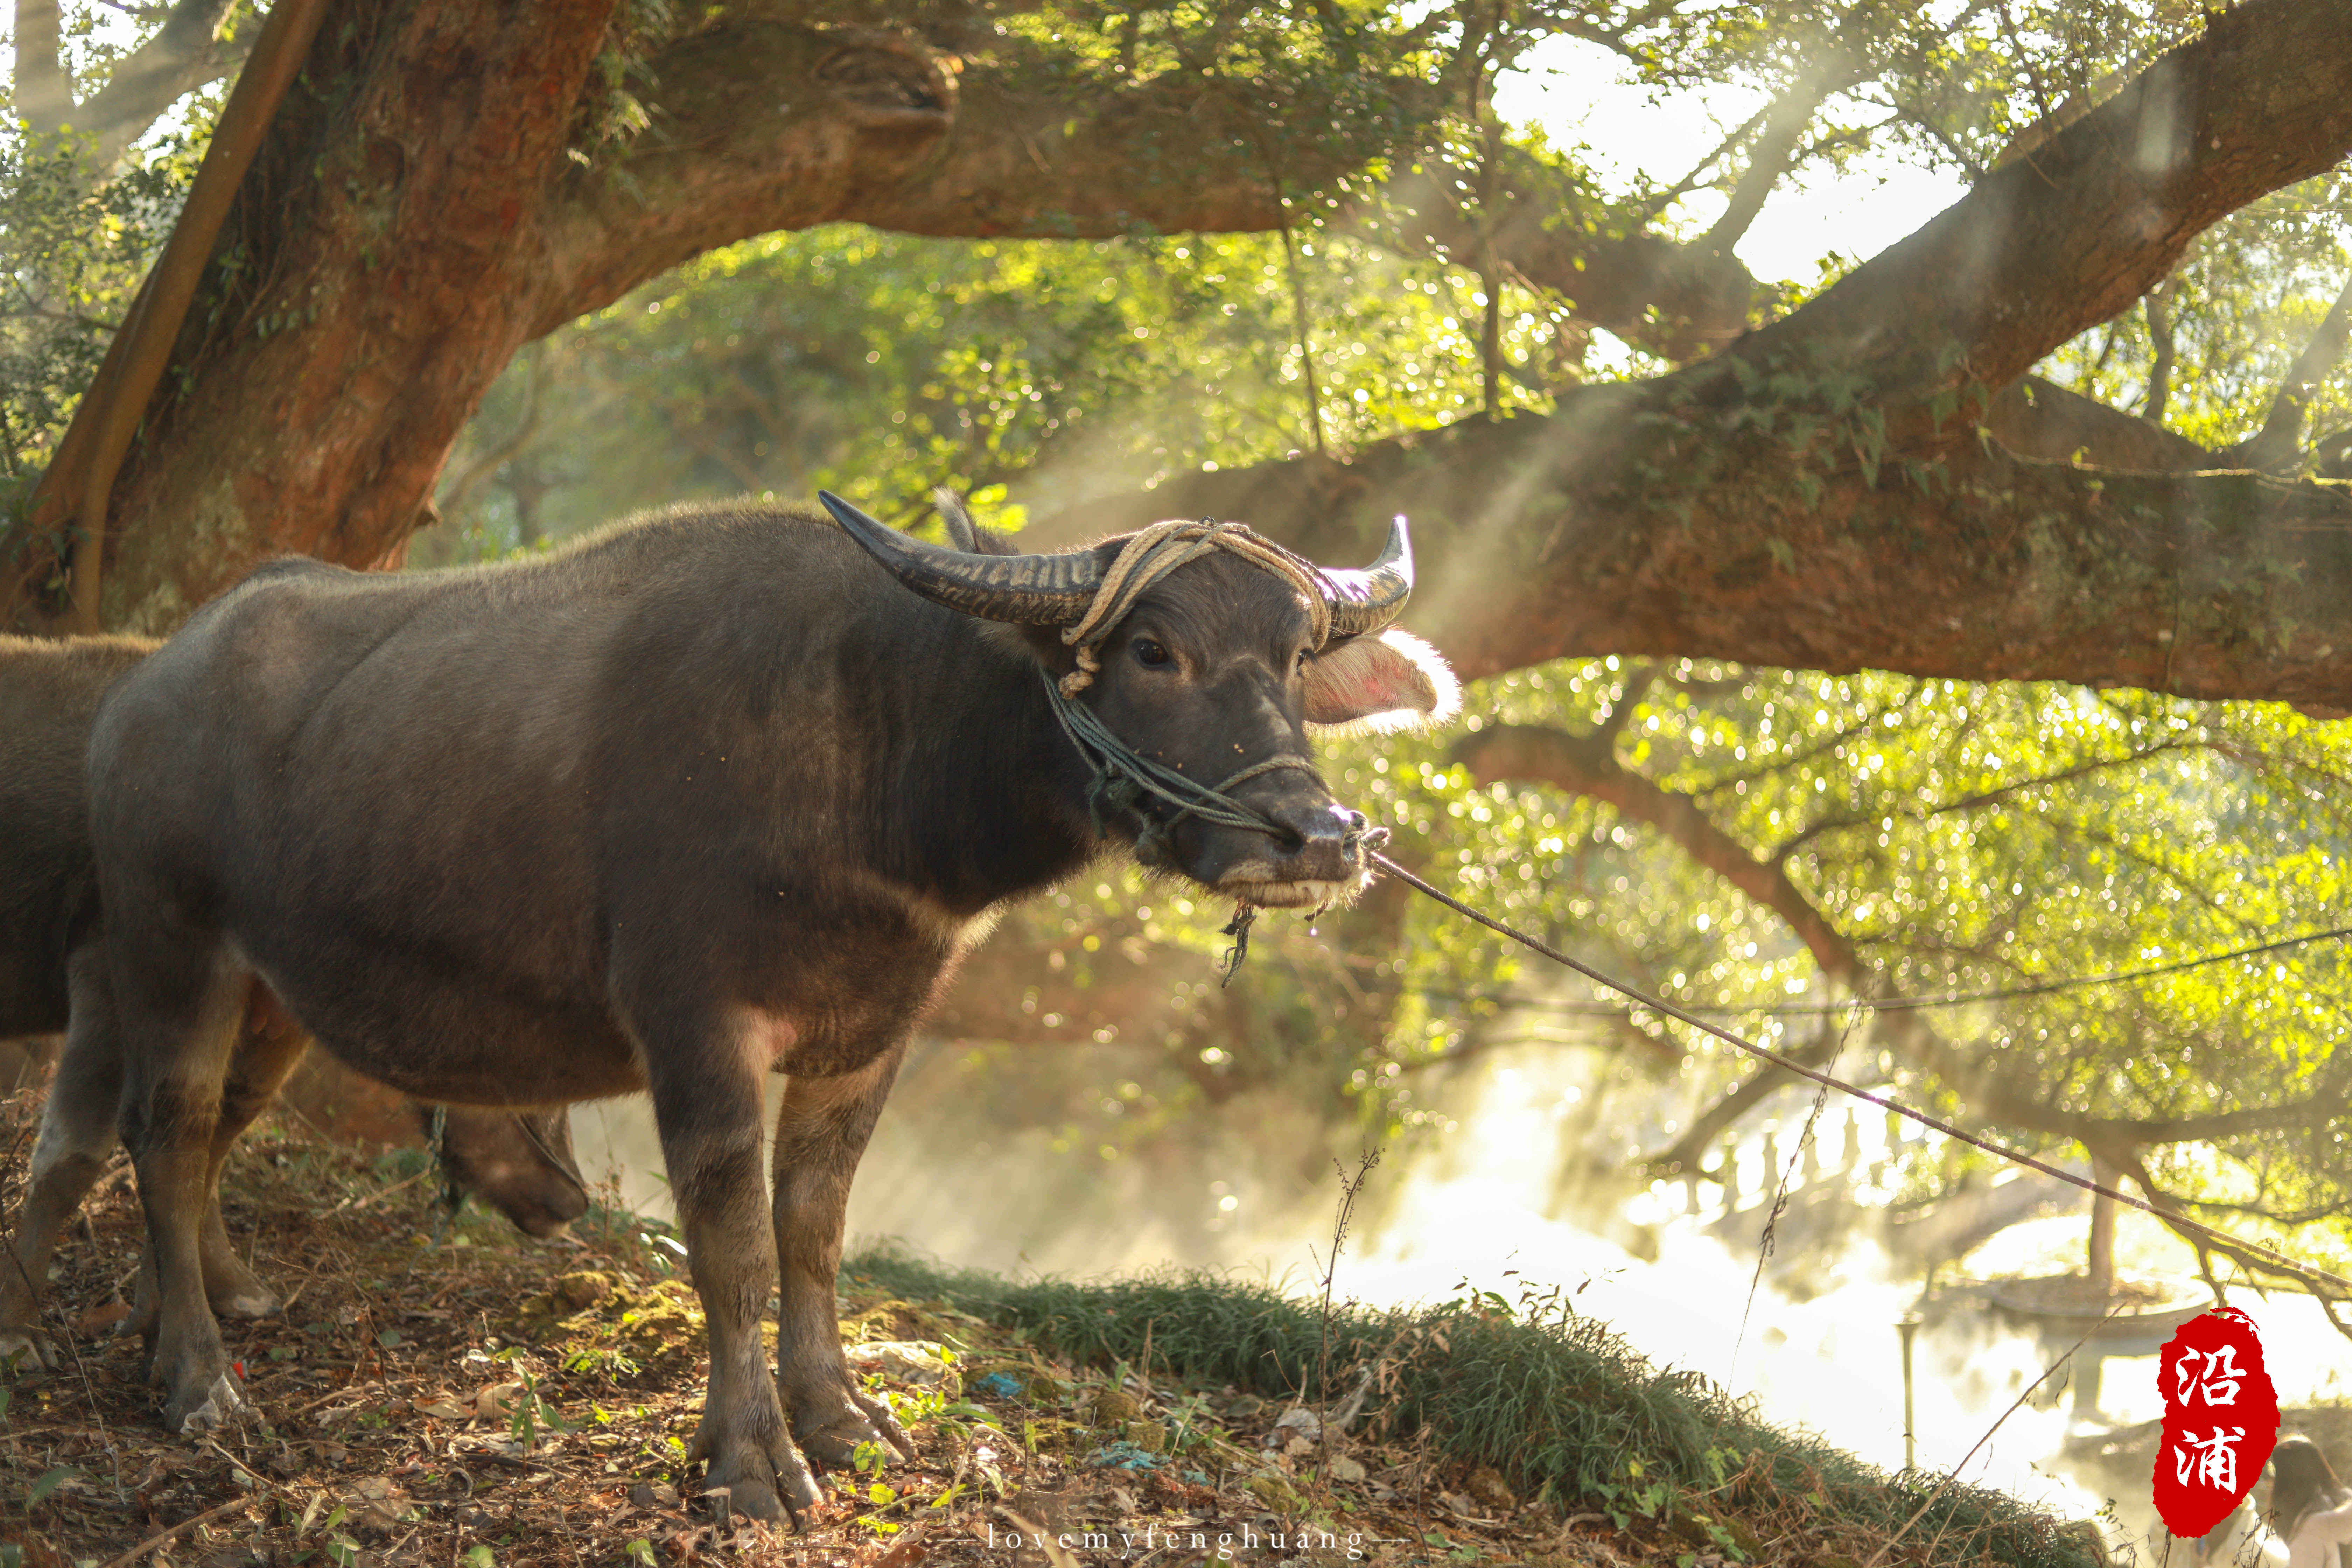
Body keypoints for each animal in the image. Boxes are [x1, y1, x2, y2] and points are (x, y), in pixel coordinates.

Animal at [0, 630, 588, 1363]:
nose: (574, 1199)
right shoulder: (107, 971)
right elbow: (71, 1158)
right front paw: (17, 1331)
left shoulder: (267, 1016)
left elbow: (220, 1131)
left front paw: (227, 1291)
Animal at [87, 500, 1449, 1523]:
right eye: (1157, 651)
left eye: (1293, 658)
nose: (1319, 838)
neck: (866, 747)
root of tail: (147, 684)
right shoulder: (698, 1029)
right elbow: (732, 1245)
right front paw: (750, 1458)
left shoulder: (870, 1038)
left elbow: (813, 1226)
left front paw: (839, 1417)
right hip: (170, 945)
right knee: (167, 1129)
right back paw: (199, 1379)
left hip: (274, 988)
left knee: (212, 1131)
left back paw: (185, 1307)